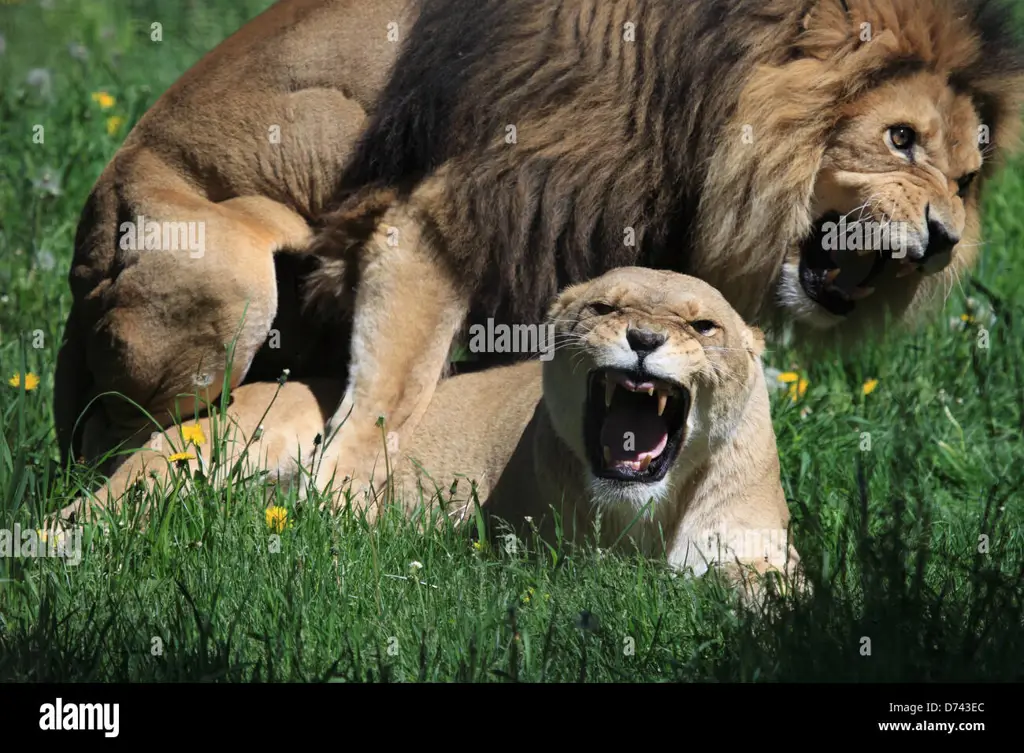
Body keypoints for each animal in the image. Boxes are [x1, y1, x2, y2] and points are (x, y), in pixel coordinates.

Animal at [54, 0, 1024, 506]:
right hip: (224, 284)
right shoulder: (455, 208)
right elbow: (393, 387)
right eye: (898, 137)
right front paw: (338, 500)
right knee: (109, 431)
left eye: (969, 176)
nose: (944, 239)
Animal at [59, 268, 798, 598]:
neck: (647, 510)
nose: (643, 339)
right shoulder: (528, 548)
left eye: (703, 326)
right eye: (603, 308)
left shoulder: (763, 546)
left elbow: (770, 587)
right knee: (88, 517)